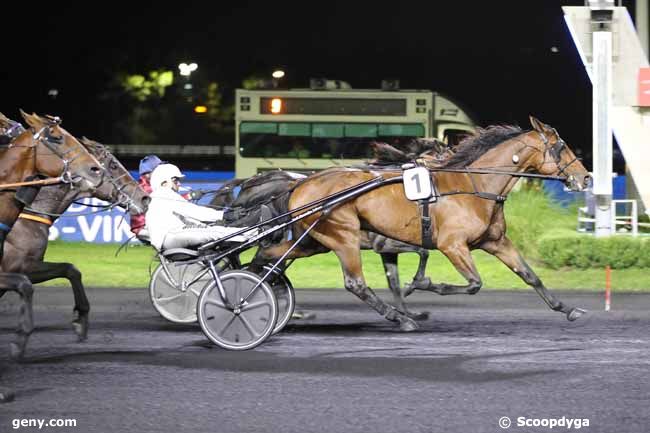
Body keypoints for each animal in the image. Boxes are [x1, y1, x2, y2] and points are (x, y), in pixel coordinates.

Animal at [0, 110, 105, 358]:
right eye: (56, 137)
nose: (97, 170)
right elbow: (25, 285)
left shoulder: (27, 266)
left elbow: (69, 269)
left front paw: (81, 319)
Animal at [0, 133, 148, 342]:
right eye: (113, 165)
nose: (144, 198)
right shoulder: (16, 268)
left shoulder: (28, 268)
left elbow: (70, 269)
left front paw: (81, 318)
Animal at [252, 116, 588, 330]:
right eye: (561, 147)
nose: (585, 177)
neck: (473, 186)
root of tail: (301, 183)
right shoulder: (451, 245)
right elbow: (473, 283)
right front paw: (421, 284)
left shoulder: (495, 241)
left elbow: (530, 276)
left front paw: (568, 309)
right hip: (342, 235)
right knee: (355, 283)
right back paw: (400, 319)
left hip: (314, 241)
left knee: (267, 257)